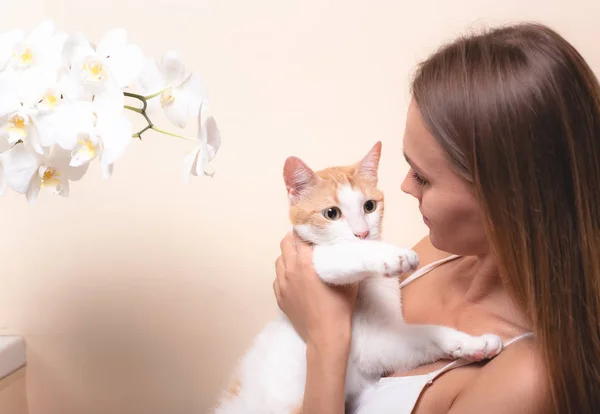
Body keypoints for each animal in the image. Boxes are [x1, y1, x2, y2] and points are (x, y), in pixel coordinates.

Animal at [213, 142, 504, 414]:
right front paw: (393, 254)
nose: (363, 233)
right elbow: (347, 253)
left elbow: (427, 334)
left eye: (369, 206)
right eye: (331, 213)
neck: (366, 281)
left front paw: (474, 343)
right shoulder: (319, 259)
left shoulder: (375, 348)